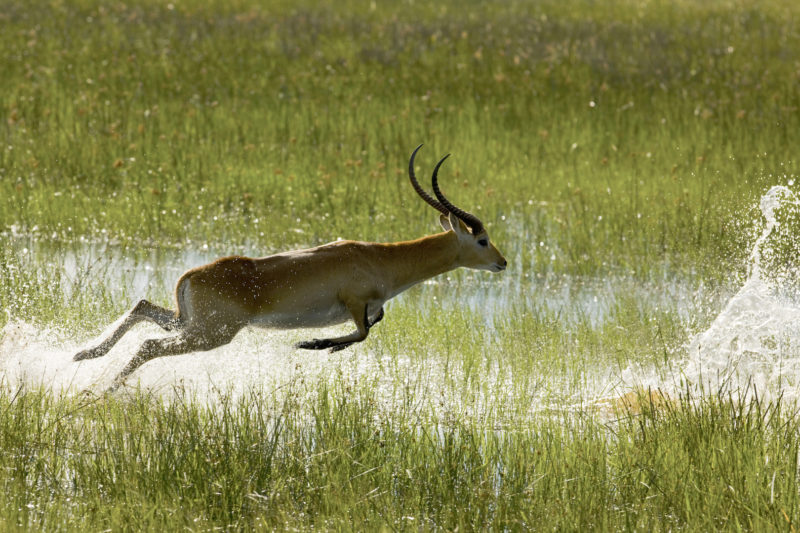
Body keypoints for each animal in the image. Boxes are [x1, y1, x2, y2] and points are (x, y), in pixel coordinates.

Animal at [78, 143, 510, 388]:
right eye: (482, 240)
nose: (502, 262)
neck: (377, 258)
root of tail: (192, 274)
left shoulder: (369, 307)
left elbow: (370, 328)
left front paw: (321, 345)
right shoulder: (355, 302)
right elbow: (362, 333)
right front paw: (313, 343)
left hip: (190, 323)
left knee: (141, 308)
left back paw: (84, 356)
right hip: (211, 333)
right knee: (149, 345)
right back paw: (102, 389)